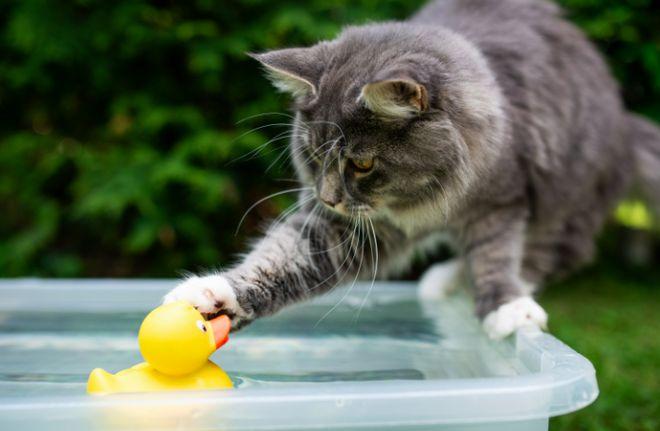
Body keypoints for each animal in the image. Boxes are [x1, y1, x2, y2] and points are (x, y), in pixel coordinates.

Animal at [164, 0, 660, 340]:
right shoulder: (345, 230)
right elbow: (280, 258)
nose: (327, 197)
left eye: (362, 163)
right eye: (314, 155)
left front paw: (505, 306)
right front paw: (213, 296)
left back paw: (467, 285)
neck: (423, 201)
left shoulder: (502, 200)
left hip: (566, 200)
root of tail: (624, 120)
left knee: (547, 255)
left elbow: (495, 254)